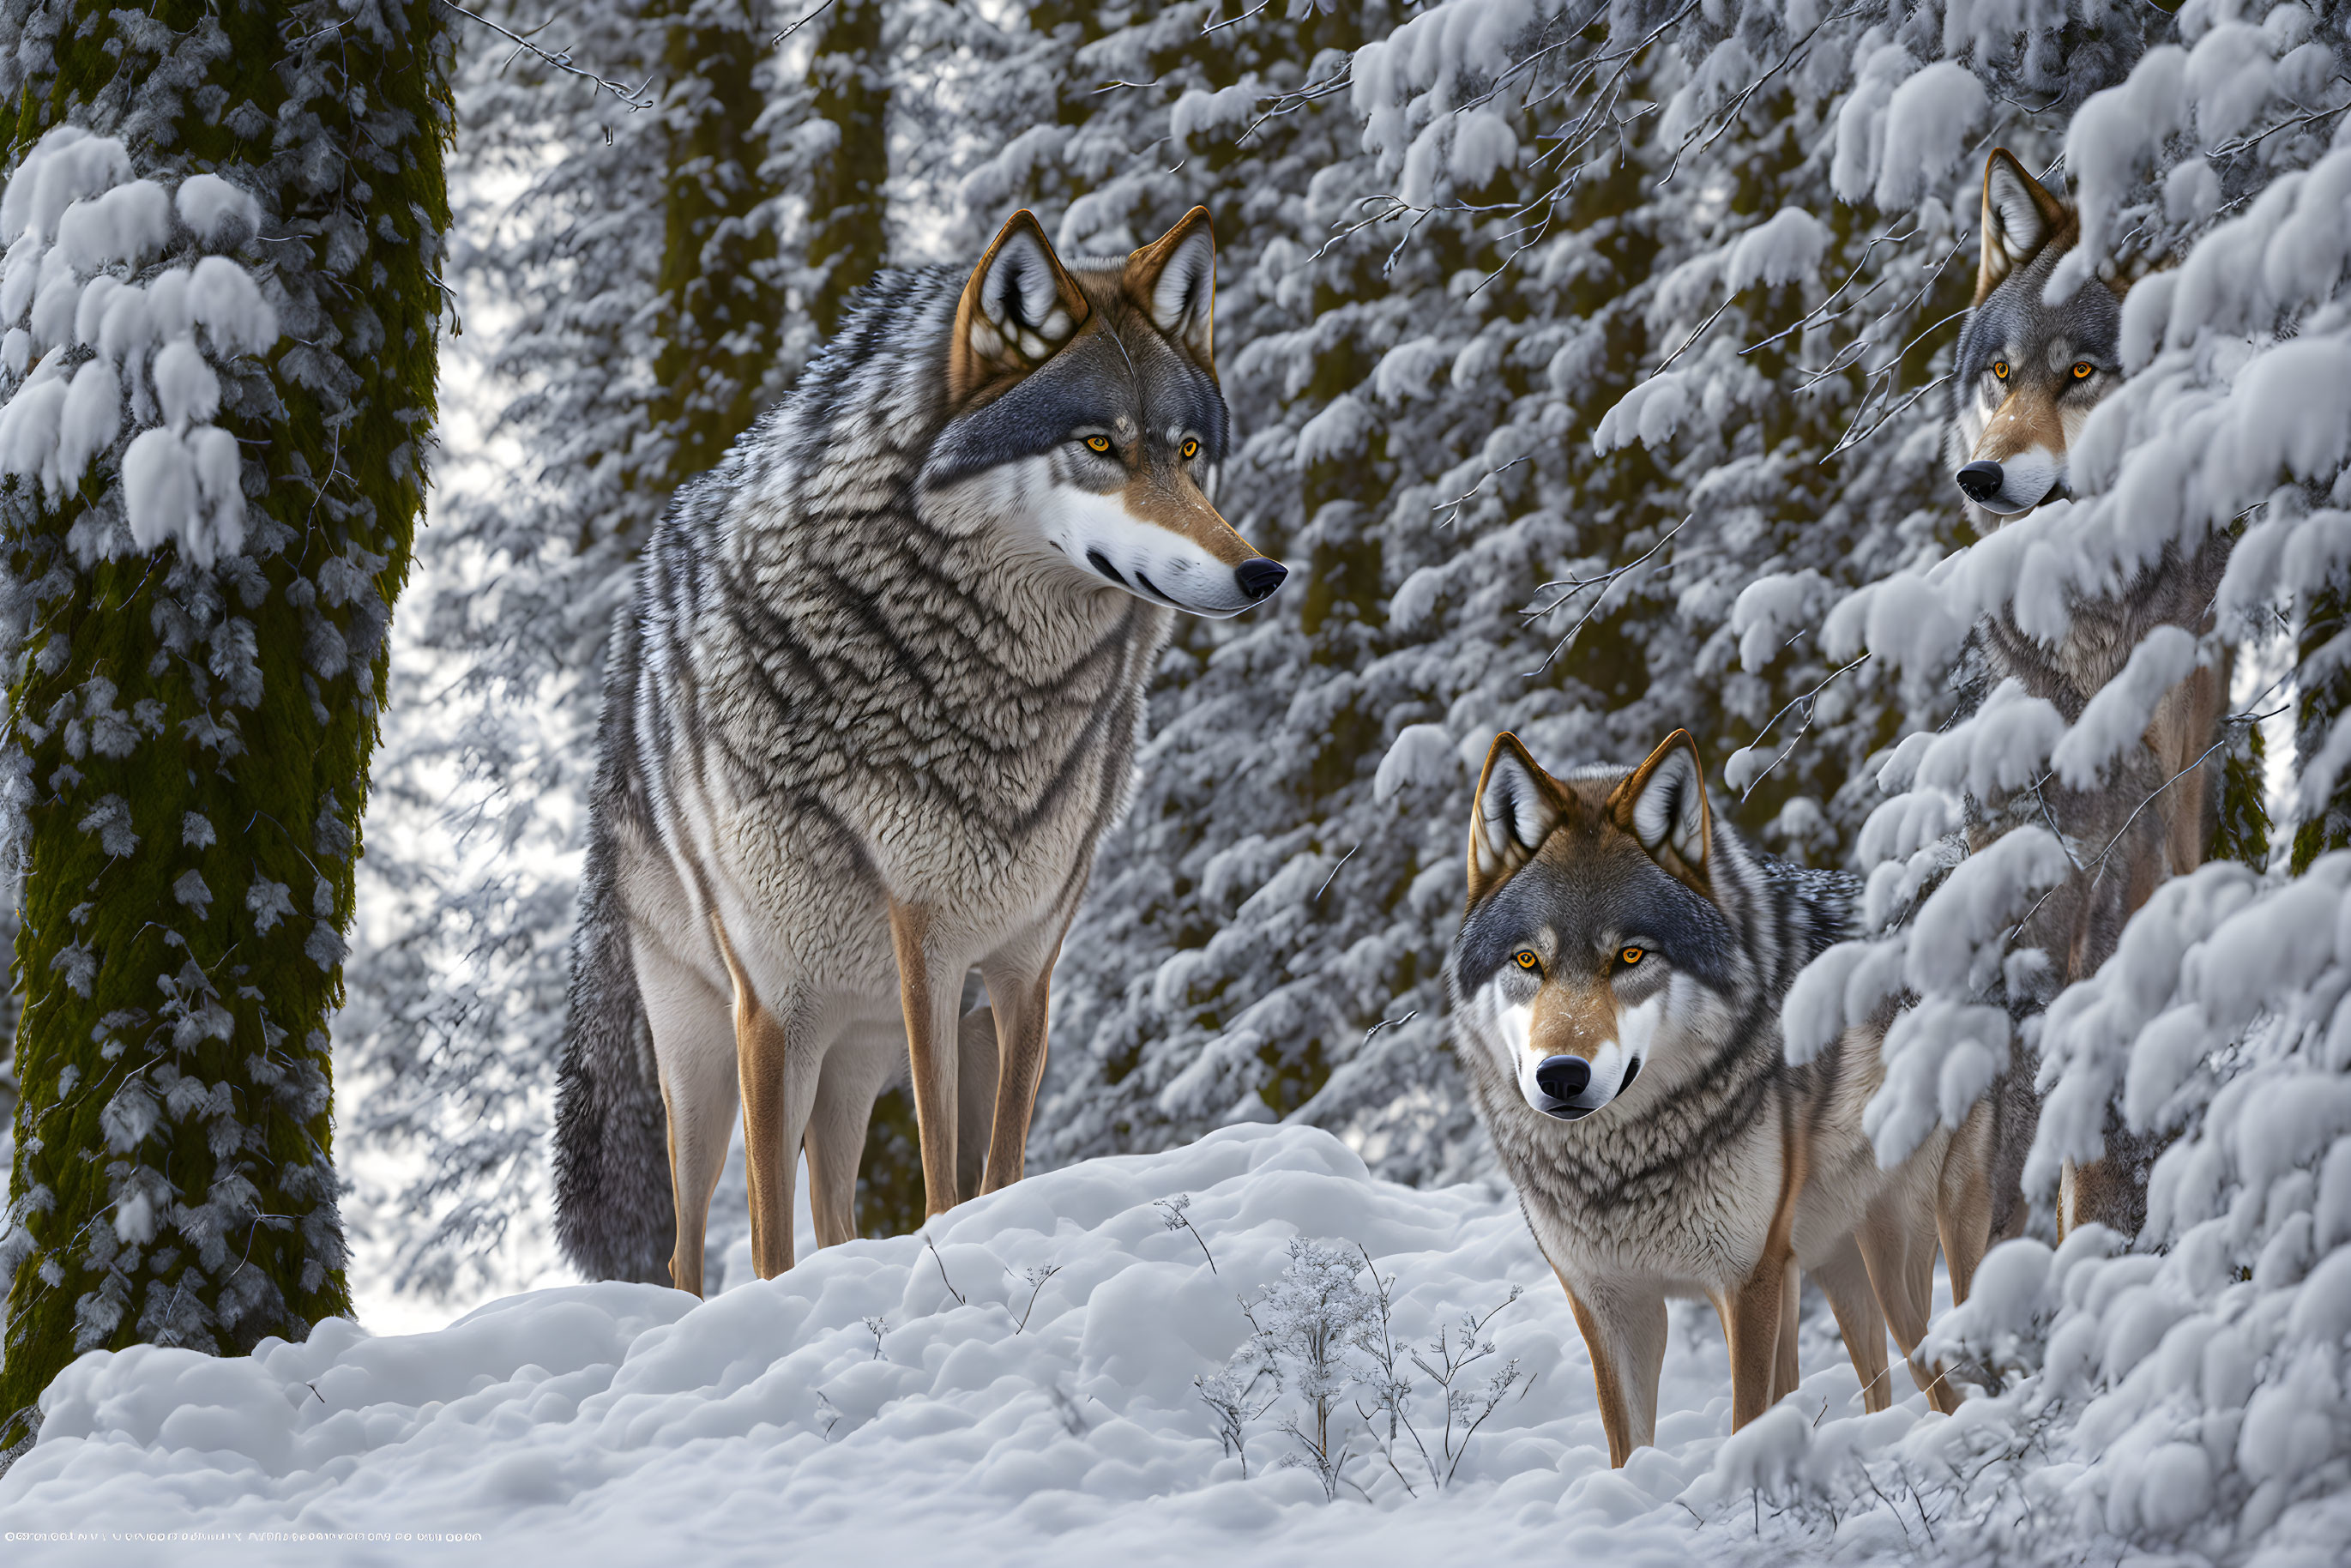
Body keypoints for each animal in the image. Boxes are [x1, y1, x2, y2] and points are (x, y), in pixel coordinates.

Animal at [550, 205, 1288, 1288]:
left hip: (848, 1051)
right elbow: (930, 1167)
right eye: (1099, 444)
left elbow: (999, 1159)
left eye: (1189, 450)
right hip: (737, 1039)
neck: (1000, 697)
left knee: (829, 1203)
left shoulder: (1023, 962)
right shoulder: (926, 948)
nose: (1262, 573)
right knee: (703, 1243)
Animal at [1438, 728, 2031, 1467]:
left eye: (1630, 956)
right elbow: (1627, 1449)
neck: (1618, 1170)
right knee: (1885, 1385)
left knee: (1956, 1373)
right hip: (1837, 1266)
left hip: (1919, 1254)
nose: (1562, 1076)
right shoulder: (1608, 1303)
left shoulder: (1746, 1281)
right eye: (1527, 961)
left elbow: (1748, 1419)